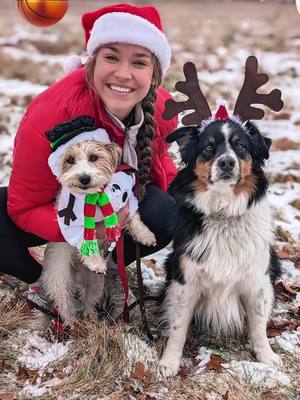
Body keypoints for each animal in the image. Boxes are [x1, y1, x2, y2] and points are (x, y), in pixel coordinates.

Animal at [159, 117, 282, 376]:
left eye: (240, 146)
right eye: (208, 147)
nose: (226, 162)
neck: (224, 213)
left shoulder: (257, 281)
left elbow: (258, 325)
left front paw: (266, 356)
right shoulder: (185, 281)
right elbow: (178, 327)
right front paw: (169, 362)